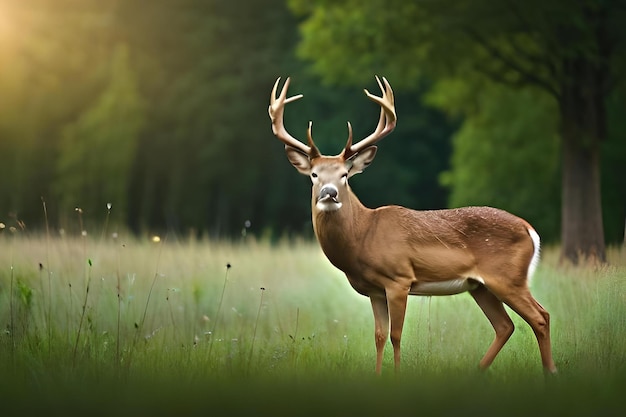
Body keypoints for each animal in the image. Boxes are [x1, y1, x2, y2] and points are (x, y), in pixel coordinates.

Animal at [268, 76, 556, 376]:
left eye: (345, 175)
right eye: (314, 175)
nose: (329, 193)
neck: (363, 235)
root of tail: (530, 230)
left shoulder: (399, 279)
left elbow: (396, 335)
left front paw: (396, 375)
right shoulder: (374, 290)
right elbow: (379, 336)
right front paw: (378, 375)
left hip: (508, 277)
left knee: (540, 316)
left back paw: (549, 372)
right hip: (480, 286)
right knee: (505, 326)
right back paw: (479, 371)